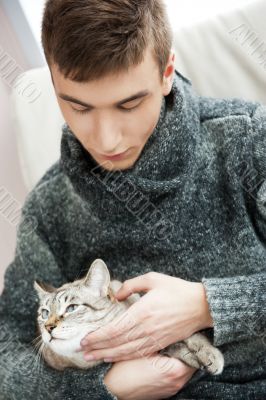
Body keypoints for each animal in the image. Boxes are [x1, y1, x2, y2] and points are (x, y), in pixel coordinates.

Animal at [33, 260, 224, 376]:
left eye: (71, 308)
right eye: (44, 313)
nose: (48, 327)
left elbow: (190, 335)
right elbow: (172, 346)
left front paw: (210, 354)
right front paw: (191, 355)